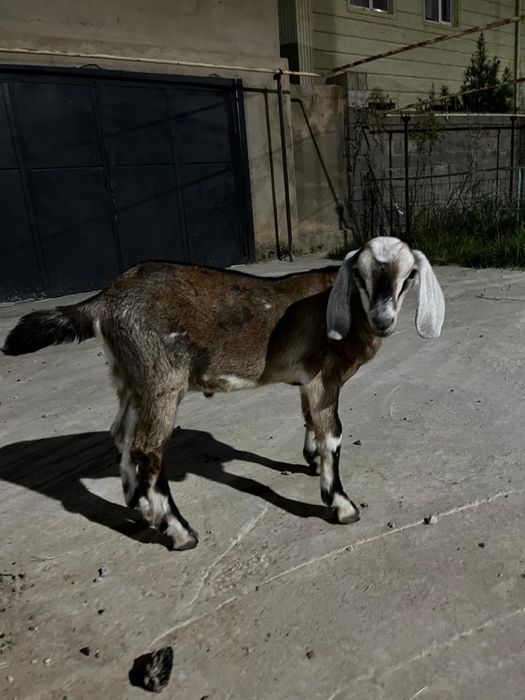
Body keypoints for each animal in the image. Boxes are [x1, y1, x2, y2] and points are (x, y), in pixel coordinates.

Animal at [3, 236, 445, 550]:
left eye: (409, 276)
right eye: (360, 276)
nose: (383, 319)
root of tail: (103, 302)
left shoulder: (308, 381)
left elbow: (310, 420)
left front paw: (309, 458)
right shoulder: (325, 376)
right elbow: (333, 433)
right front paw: (341, 505)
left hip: (130, 379)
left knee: (122, 436)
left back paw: (140, 505)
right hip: (162, 380)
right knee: (148, 449)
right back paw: (179, 532)